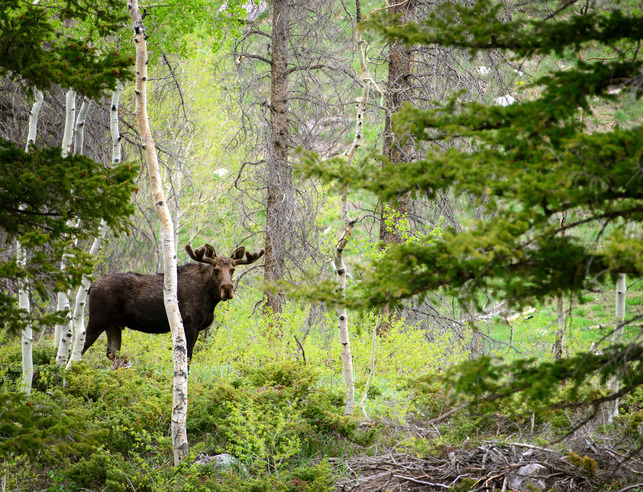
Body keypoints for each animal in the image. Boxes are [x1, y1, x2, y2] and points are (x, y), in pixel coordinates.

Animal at [81, 244, 264, 362]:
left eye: (232, 270)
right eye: (216, 269)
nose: (227, 289)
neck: (210, 299)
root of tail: (91, 287)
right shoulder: (189, 325)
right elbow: (187, 360)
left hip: (113, 325)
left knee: (112, 354)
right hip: (97, 320)